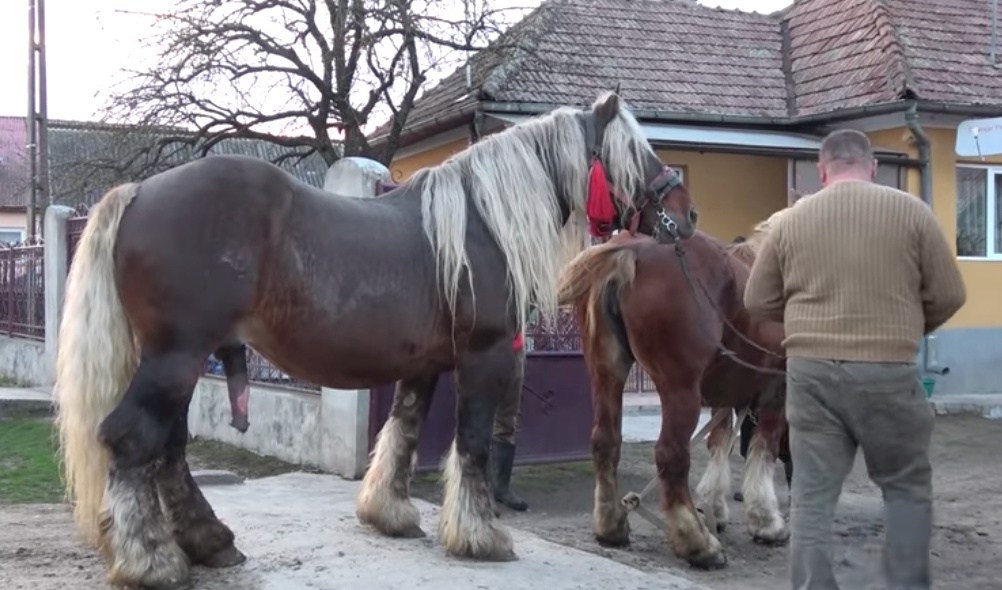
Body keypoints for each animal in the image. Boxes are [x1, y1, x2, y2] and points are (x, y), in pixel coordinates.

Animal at [52, 91, 698, 589]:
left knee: (168, 449)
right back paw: (152, 561)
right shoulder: (483, 356)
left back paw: (209, 542)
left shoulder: (425, 364)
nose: (687, 216)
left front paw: (389, 513)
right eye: (638, 152)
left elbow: (403, 433)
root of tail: (139, 192)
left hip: (178, 362)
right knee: (133, 441)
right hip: (176, 358)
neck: (481, 225)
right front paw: (480, 535)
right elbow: (471, 445)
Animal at [556, 211, 791, 570]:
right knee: (671, 455)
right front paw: (766, 521)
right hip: (680, 390)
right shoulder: (775, 389)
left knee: (605, 441)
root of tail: (633, 250)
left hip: (606, 372)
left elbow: (719, 442)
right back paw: (697, 543)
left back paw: (611, 526)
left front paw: (715, 507)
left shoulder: (726, 395)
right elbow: (763, 449)